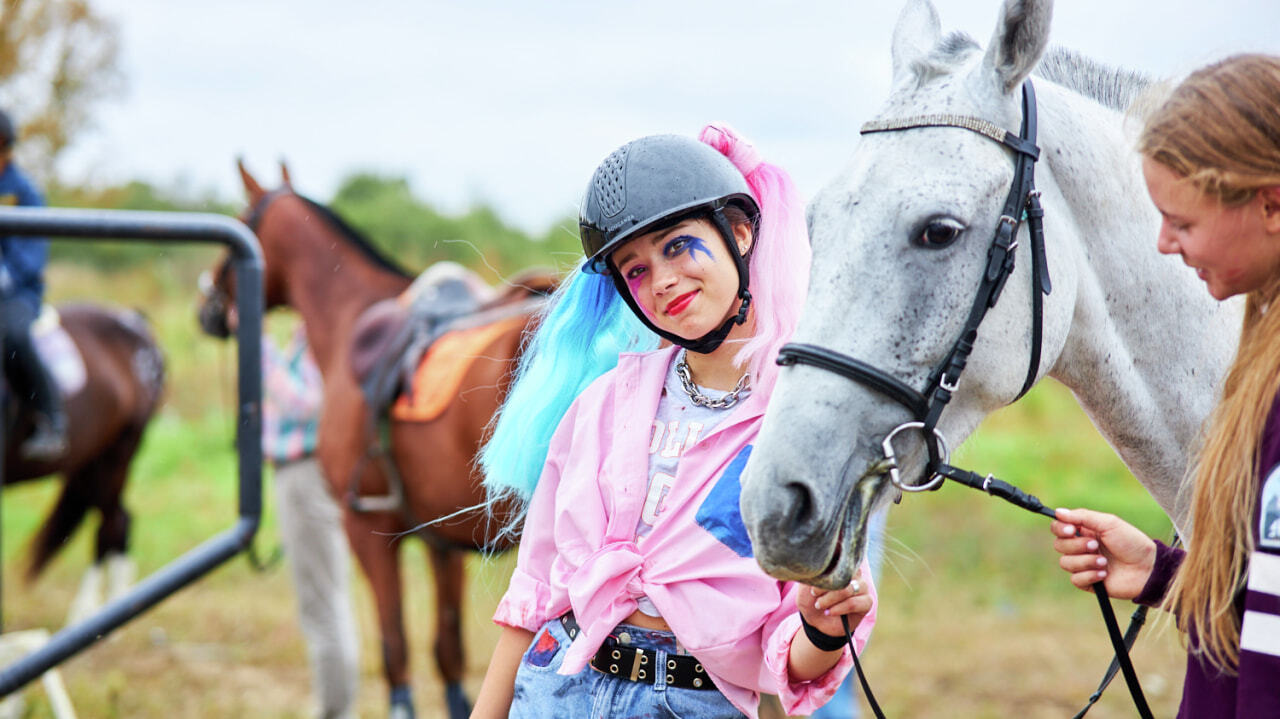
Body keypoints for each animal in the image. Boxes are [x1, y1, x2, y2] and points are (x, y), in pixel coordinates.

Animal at [5, 301, 165, 621]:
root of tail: (135, 321)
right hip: (87, 462)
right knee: (119, 521)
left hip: (116, 454)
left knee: (113, 526)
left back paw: (91, 611)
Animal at [202, 162, 552, 716]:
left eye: (240, 219)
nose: (208, 306)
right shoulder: (443, 538)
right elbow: (449, 653)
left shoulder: (366, 528)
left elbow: (395, 650)